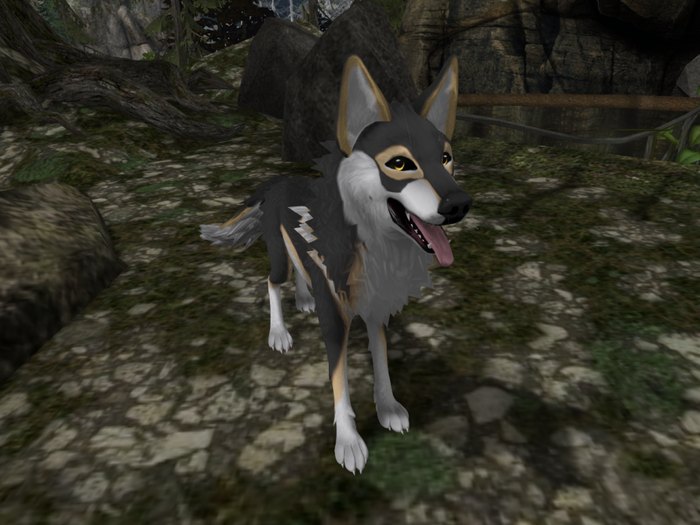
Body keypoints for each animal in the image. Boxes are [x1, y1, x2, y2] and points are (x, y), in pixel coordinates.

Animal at [200, 54, 472, 474]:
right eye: (400, 164)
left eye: (446, 159)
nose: (459, 204)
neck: (371, 243)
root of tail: (277, 181)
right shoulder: (336, 322)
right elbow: (339, 381)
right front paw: (348, 443)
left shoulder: (376, 310)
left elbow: (381, 364)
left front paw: (388, 408)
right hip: (279, 258)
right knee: (271, 281)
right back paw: (279, 332)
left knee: (300, 271)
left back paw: (303, 299)